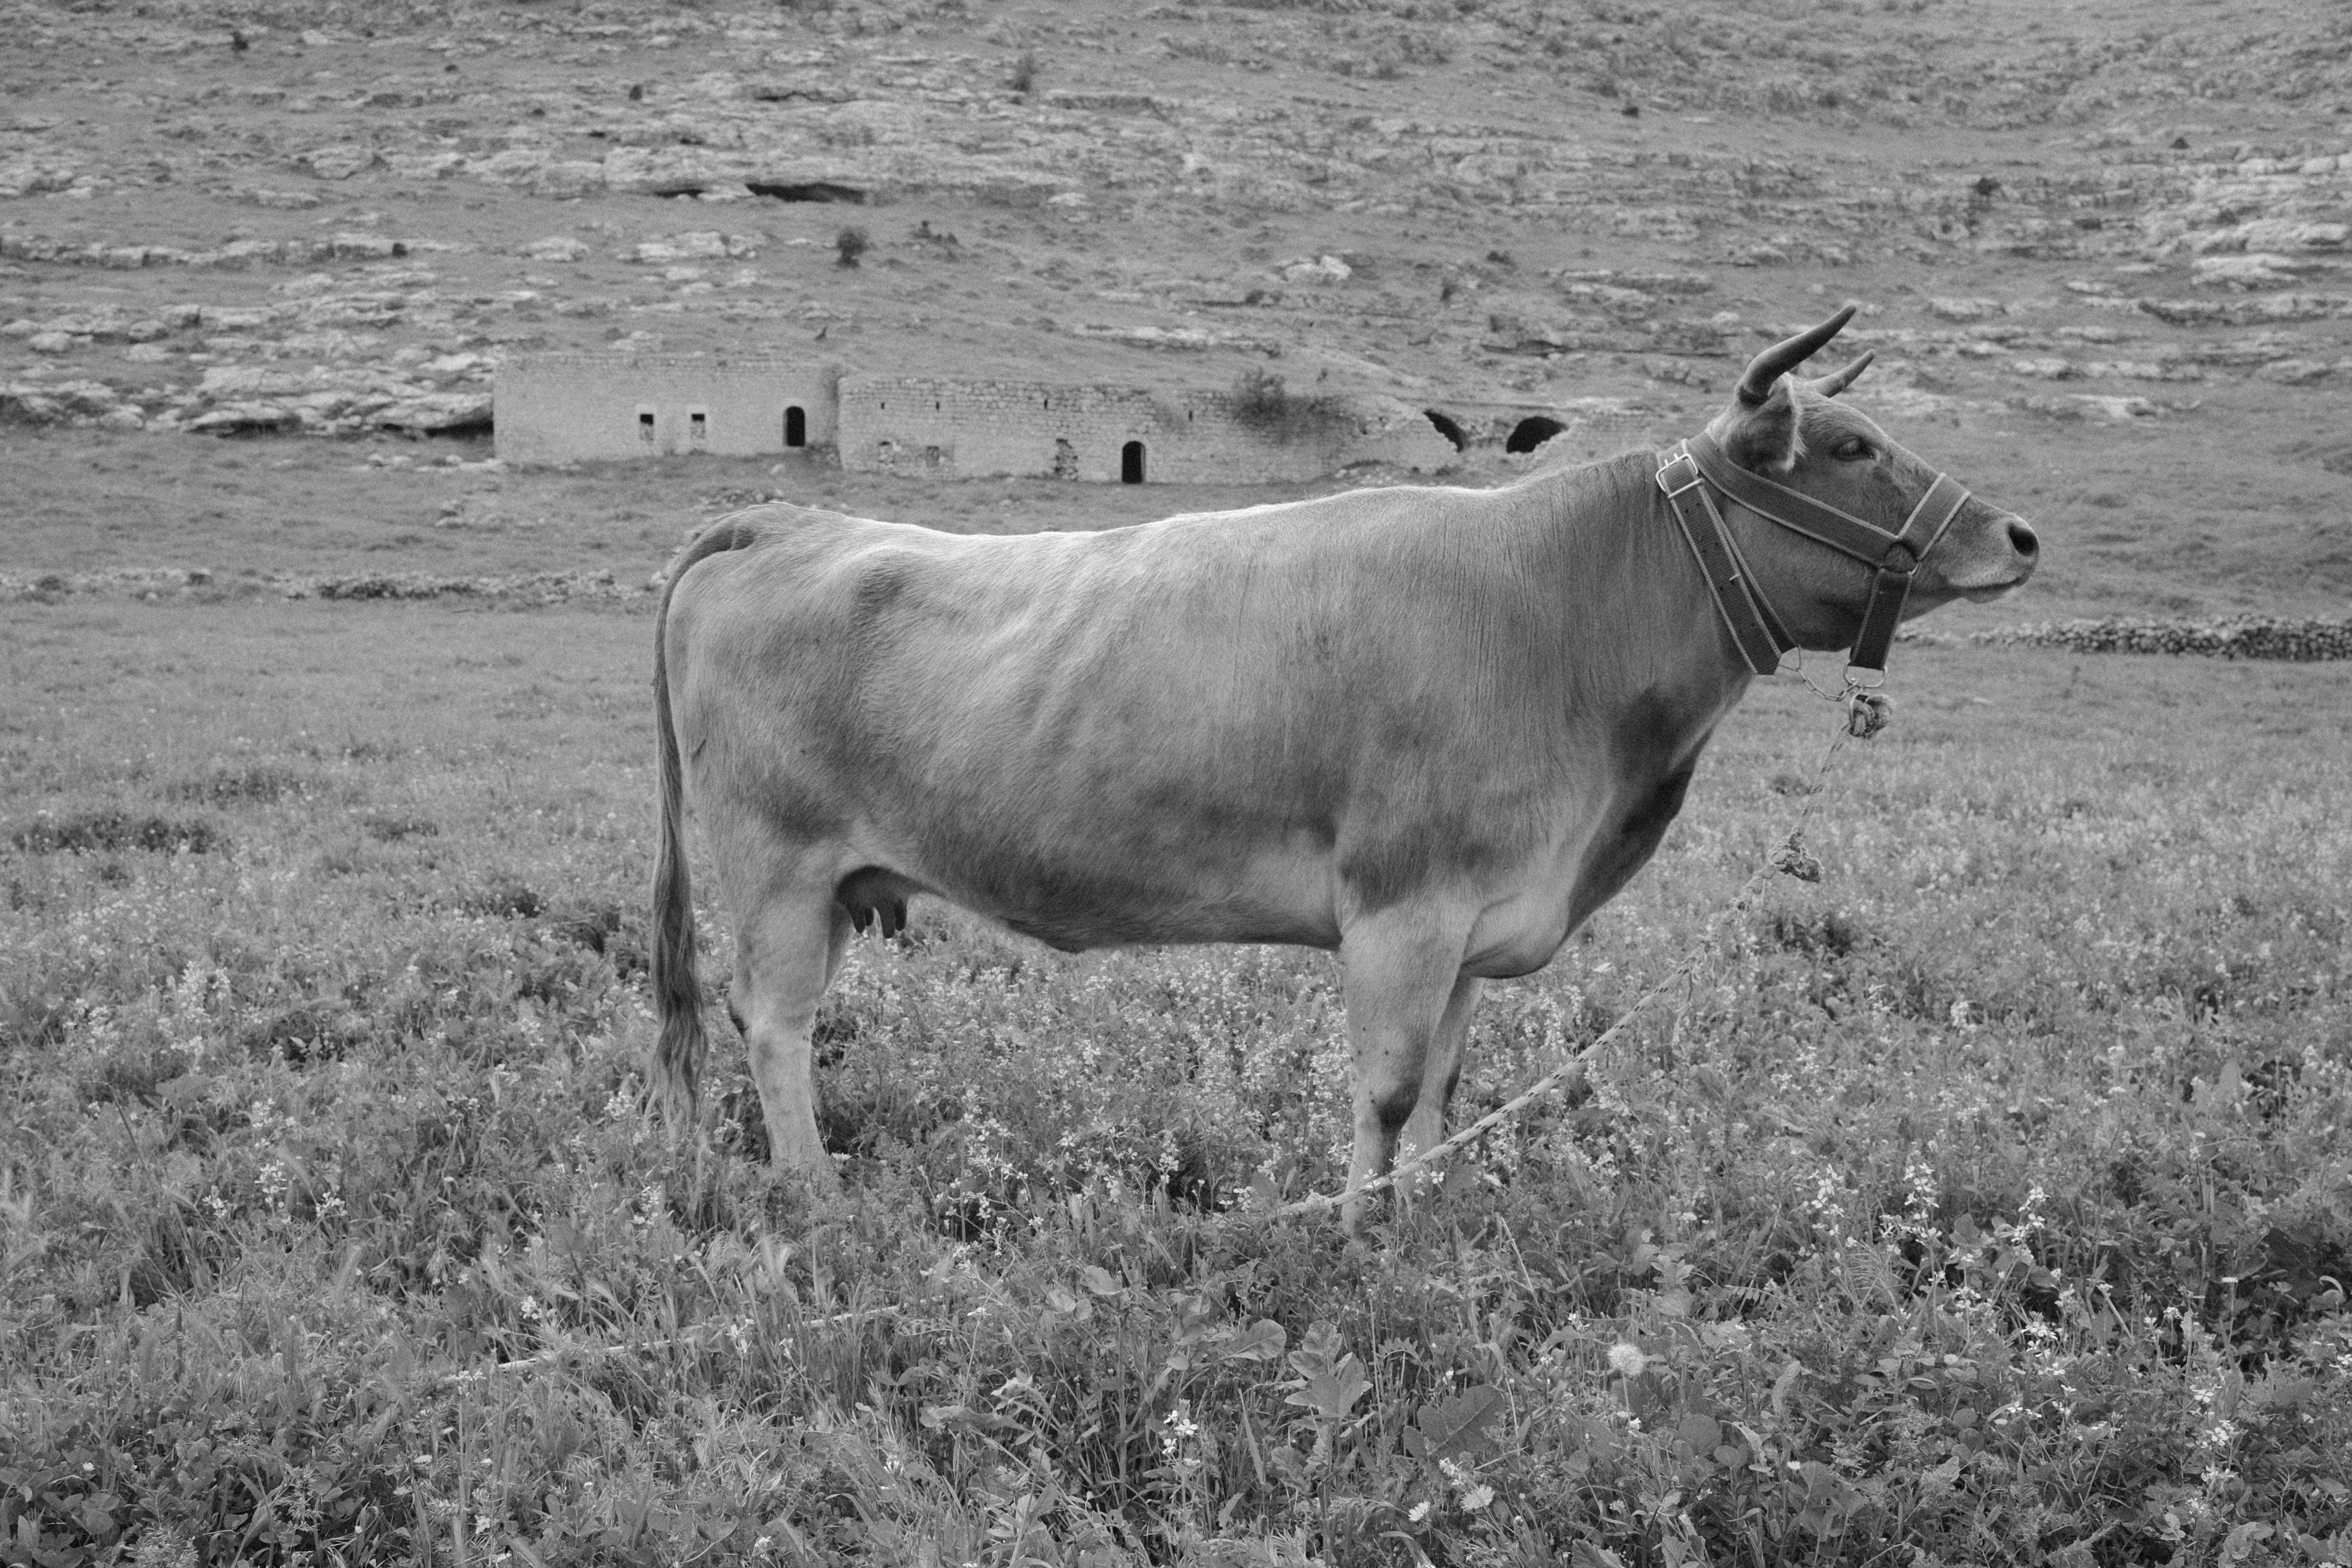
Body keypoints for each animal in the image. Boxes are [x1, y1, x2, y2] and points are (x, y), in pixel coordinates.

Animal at [649, 307, 2040, 1227]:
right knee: (773, 1024)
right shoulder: (1401, 907)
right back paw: (816, 1192)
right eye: (1849, 446)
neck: (1563, 611)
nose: (2018, 534)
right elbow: (1383, 1090)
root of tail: (787, 518)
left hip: (833, 882)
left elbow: (1440, 1094)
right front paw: (1358, 1234)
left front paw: (1426, 1221)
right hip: (777, 869)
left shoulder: (1476, 923)